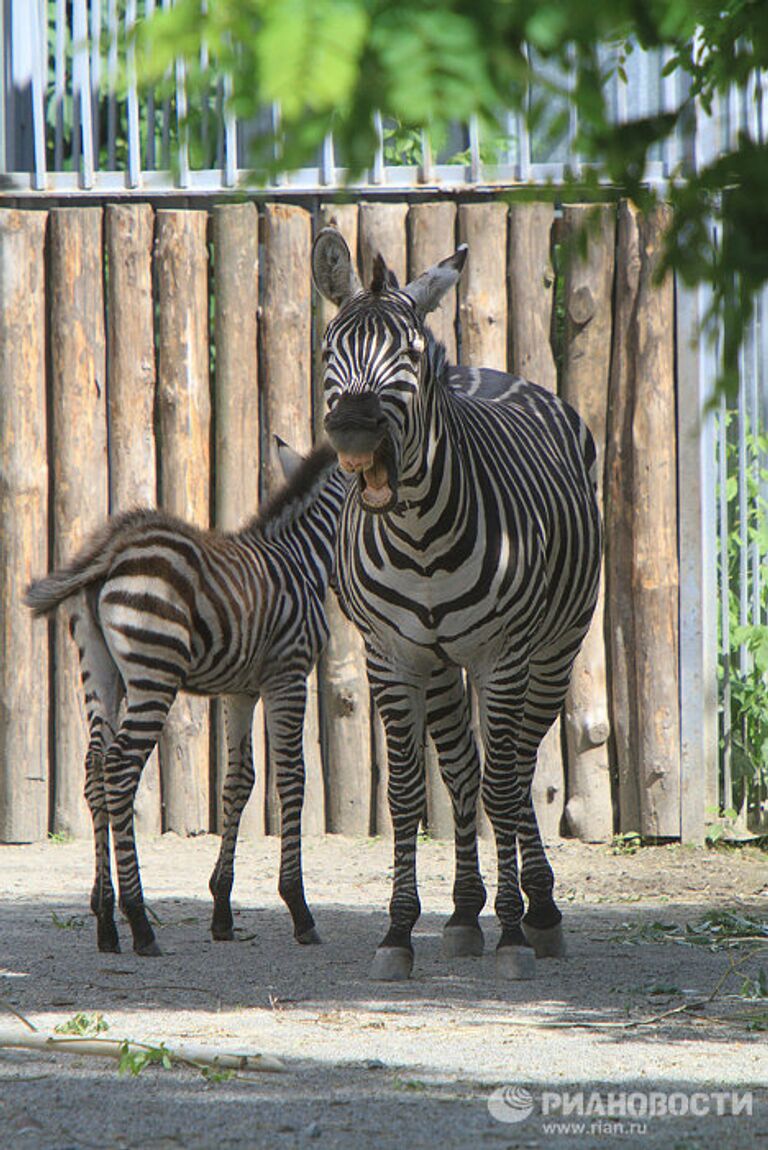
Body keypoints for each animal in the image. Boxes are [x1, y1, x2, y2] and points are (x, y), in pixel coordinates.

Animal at [24, 443, 347, 956]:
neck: (304, 557)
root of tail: (115, 547)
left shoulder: (241, 690)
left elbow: (239, 782)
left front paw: (222, 911)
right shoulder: (288, 674)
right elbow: (293, 778)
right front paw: (298, 908)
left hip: (99, 671)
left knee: (94, 768)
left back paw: (105, 918)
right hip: (154, 672)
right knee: (120, 769)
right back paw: (138, 921)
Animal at [315, 224, 602, 979]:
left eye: (411, 355)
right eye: (329, 352)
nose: (353, 432)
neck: (417, 536)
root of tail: (493, 372)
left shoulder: (502, 655)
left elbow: (506, 784)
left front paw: (513, 933)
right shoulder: (391, 657)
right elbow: (410, 791)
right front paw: (398, 931)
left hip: (553, 651)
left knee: (519, 768)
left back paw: (538, 910)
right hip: (444, 665)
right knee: (465, 770)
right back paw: (466, 914)